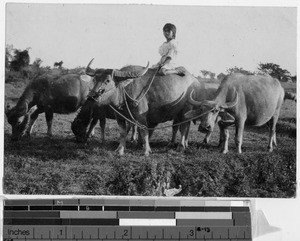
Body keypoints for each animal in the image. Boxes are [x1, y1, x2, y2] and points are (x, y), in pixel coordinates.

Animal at [71, 59, 203, 155]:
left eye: (107, 80)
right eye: (94, 79)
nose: (91, 96)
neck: (125, 92)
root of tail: (195, 81)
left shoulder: (141, 117)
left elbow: (144, 131)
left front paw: (146, 151)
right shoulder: (119, 117)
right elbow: (123, 132)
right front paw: (120, 149)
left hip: (186, 111)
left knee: (184, 128)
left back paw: (181, 146)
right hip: (179, 113)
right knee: (181, 127)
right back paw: (182, 144)